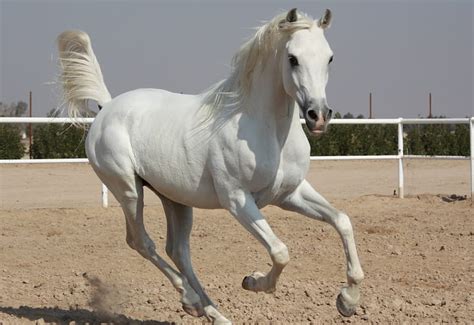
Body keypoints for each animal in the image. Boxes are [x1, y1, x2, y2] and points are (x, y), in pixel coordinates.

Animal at [57, 8, 364, 322]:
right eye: (292, 58)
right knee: (141, 241)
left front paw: (347, 301)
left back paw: (211, 312)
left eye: (329, 57)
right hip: (128, 190)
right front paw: (253, 281)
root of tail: (107, 108)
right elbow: (280, 252)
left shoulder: (290, 194)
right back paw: (191, 300)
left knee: (178, 250)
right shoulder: (238, 200)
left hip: (175, 199)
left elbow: (342, 221)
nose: (318, 116)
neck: (266, 130)